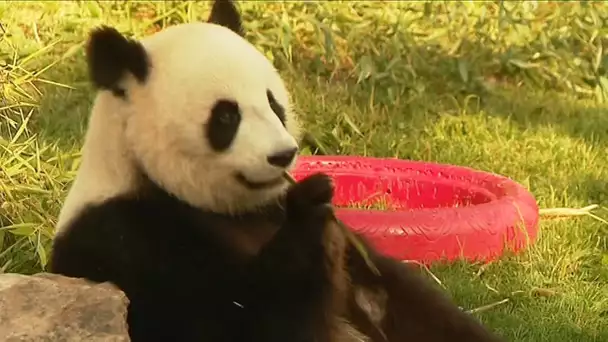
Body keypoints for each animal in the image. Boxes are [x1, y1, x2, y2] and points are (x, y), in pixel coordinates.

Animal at [51, 0, 504, 342]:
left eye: (273, 103)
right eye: (226, 117)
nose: (283, 156)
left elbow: (402, 299)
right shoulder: (128, 239)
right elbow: (238, 322)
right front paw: (311, 211)